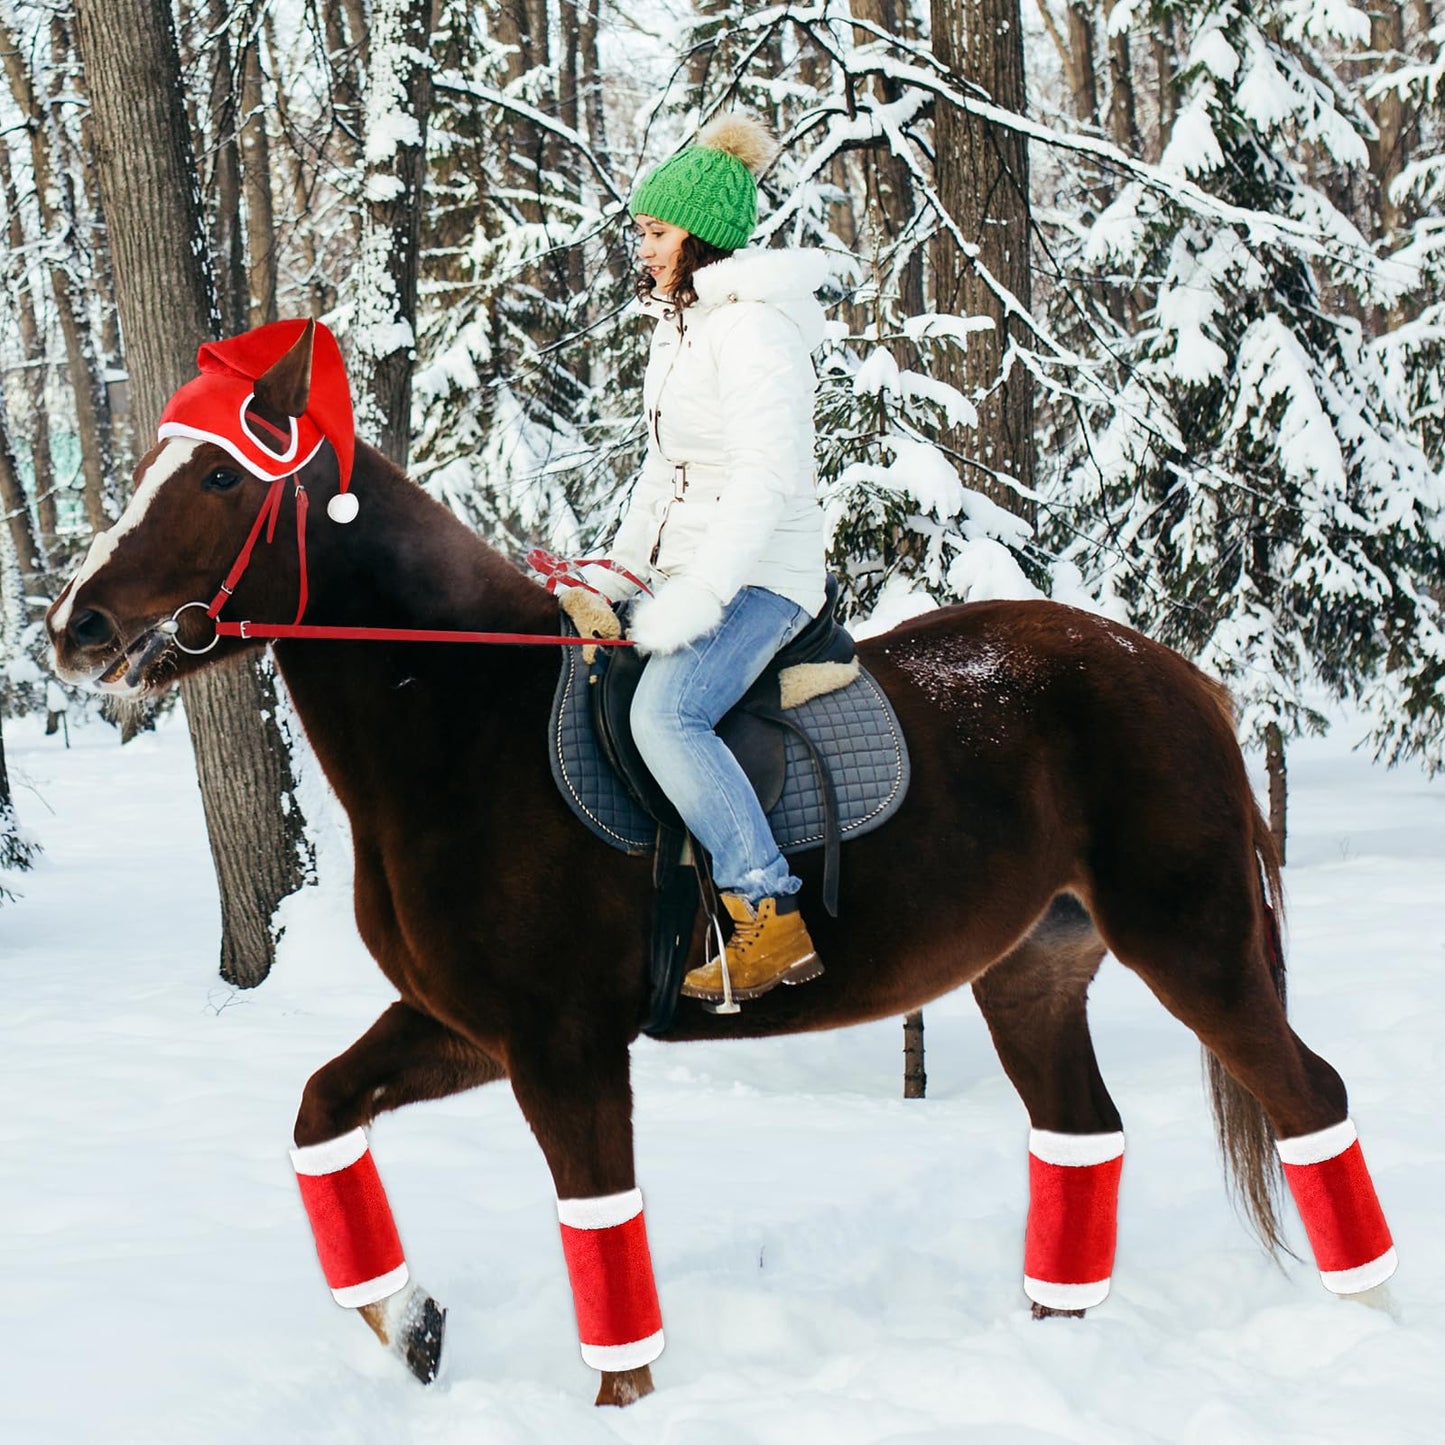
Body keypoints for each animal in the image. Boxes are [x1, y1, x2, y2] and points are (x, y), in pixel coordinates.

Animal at [47, 321, 1395, 1407]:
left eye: (219, 473)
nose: (75, 625)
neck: (463, 722)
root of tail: (1174, 672)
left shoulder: (560, 1045)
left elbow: (601, 1238)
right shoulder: (469, 1026)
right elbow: (321, 1110)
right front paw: (412, 1323)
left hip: (1192, 941)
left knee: (1308, 1095)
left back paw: (1371, 1324)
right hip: (1031, 969)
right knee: (1081, 1133)